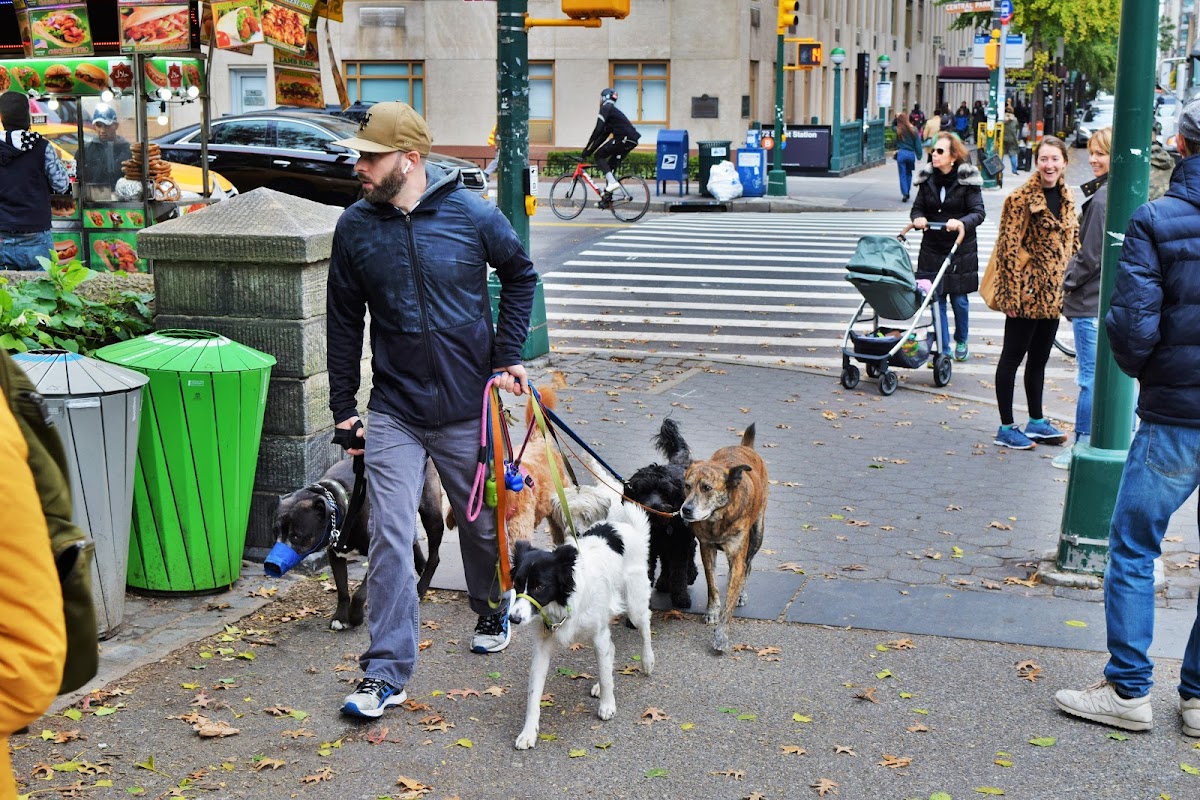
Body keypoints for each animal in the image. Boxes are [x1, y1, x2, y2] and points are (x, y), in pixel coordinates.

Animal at [508, 491, 657, 748]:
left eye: (539, 586)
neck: (563, 603)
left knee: (644, 626)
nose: (513, 618)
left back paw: (647, 661)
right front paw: (528, 732)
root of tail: (624, 528)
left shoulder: (598, 634)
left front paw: (607, 705)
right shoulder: (542, 647)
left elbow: (606, 674)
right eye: (517, 584)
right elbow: (533, 694)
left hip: (635, 605)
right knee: (612, 649)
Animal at [681, 422, 763, 652]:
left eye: (707, 488)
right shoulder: (706, 548)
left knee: (748, 566)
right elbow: (712, 585)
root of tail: (744, 446)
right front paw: (711, 611)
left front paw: (721, 636)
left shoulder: (737, 555)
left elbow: (730, 602)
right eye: (687, 485)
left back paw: (742, 592)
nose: (685, 510)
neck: (718, 518)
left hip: (757, 535)